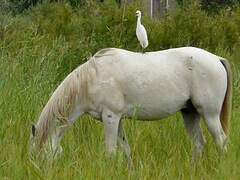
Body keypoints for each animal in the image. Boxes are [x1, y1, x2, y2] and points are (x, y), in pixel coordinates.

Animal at [29, 46, 232, 162]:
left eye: (39, 156)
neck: (91, 80)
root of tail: (216, 59)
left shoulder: (111, 117)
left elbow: (110, 151)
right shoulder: (117, 120)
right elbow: (125, 150)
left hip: (210, 114)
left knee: (221, 141)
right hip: (190, 114)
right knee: (199, 144)